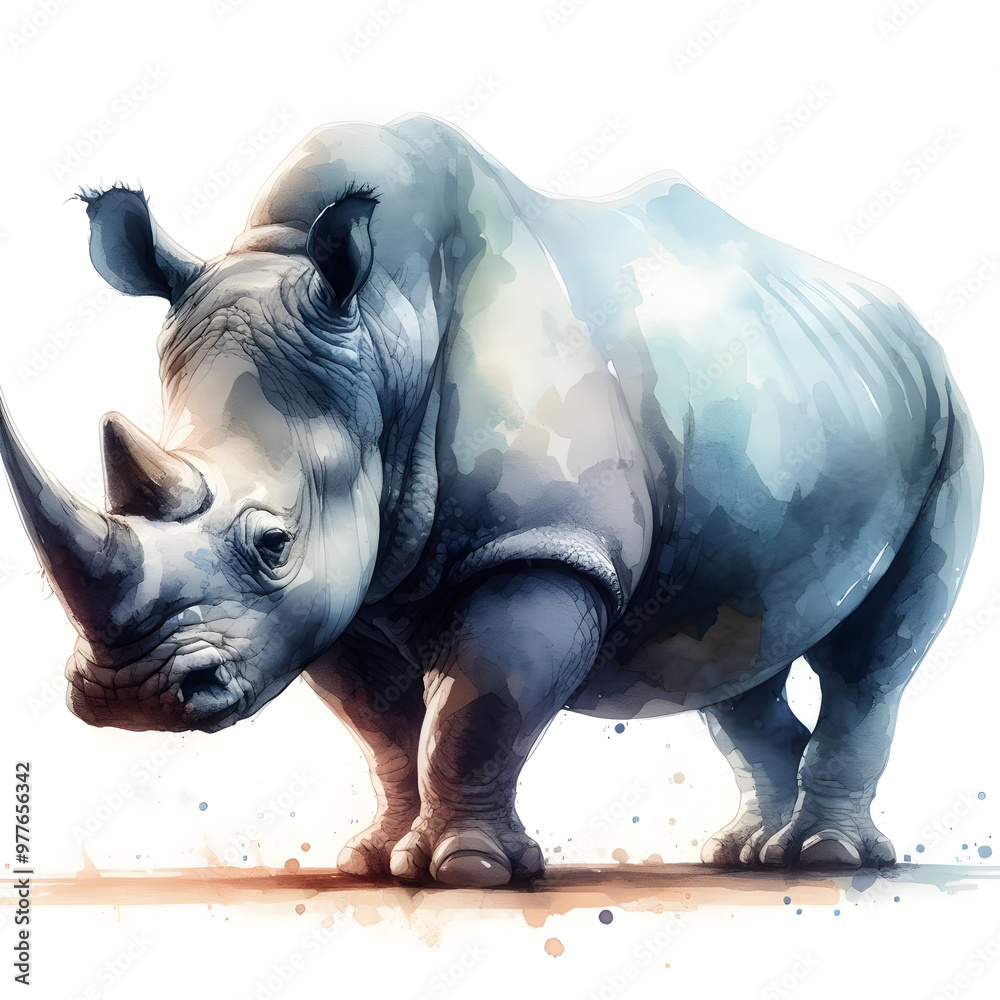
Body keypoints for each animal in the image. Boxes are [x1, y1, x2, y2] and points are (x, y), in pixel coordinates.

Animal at [0, 114, 981, 887]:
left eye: (273, 543)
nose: (130, 696)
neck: (385, 331)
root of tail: (913, 329)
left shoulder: (543, 547)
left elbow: (477, 713)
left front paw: (465, 870)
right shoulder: (346, 589)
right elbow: (385, 728)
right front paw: (373, 861)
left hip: (950, 420)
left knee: (870, 660)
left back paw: (822, 858)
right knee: (732, 654)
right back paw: (741, 854)